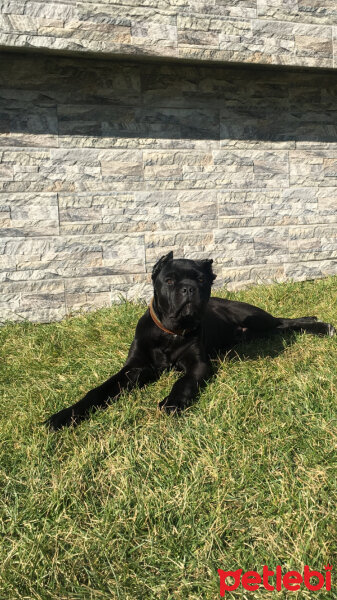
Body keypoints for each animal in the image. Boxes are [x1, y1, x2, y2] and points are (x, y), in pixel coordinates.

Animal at [46, 253, 334, 432]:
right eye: (169, 280)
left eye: (201, 279)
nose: (188, 289)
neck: (170, 332)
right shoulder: (134, 369)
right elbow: (98, 391)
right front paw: (64, 416)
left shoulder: (198, 364)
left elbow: (183, 382)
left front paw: (172, 403)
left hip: (256, 318)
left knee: (285, 322)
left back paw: (320, 325)